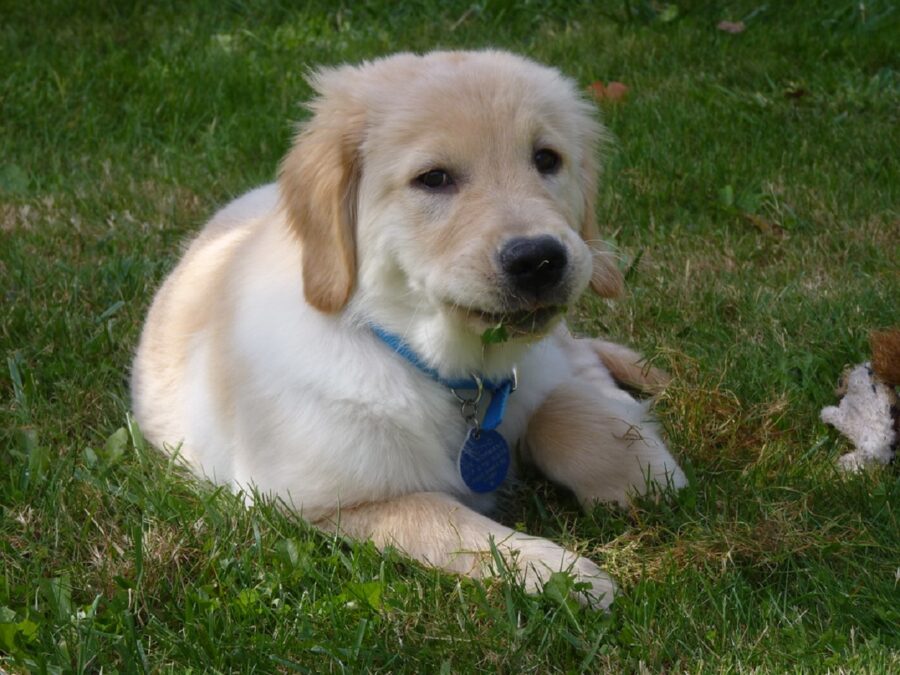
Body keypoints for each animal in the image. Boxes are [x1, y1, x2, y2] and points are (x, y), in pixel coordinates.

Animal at [130, 50, 684, 608]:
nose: (540, 260)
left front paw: (643, 472)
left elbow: (561, 410)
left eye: (547, 159)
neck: (447, 369)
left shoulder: (533, 372)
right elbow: (445, 522)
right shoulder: (315, 501)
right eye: (433, 178)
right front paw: (563, 574)